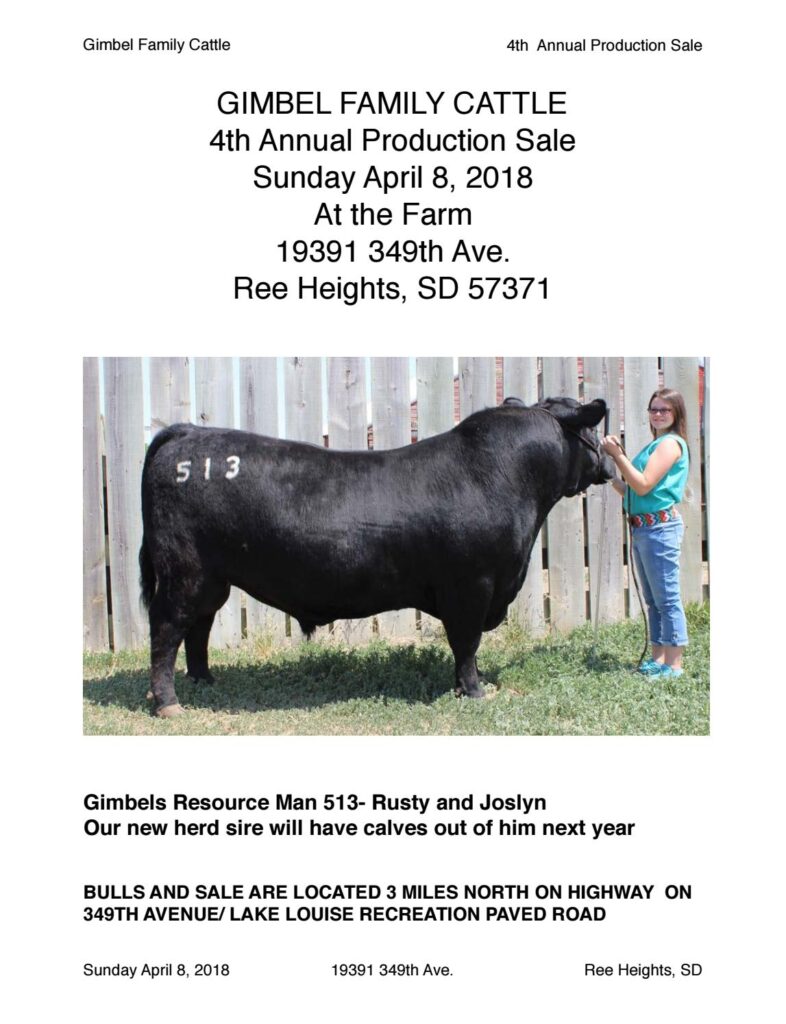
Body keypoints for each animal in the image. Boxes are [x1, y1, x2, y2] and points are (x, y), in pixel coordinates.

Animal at [139, 396, 615, 716]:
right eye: (592, 432)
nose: (610, 463)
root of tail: (188, 432)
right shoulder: (472, 586)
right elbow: (466, 643)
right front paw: (474, 690)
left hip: (212, 578)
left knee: (198, 627)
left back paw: (204, 680)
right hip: (184, 572)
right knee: (166, 629)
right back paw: (169, 703)